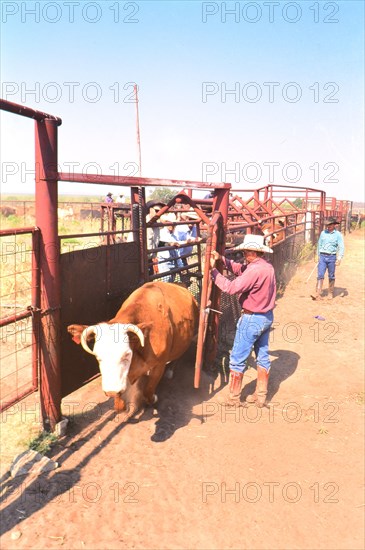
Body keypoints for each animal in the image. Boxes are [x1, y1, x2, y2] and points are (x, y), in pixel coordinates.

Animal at [68, 284, 199, 414]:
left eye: (127, 354)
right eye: (97, 356)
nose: (111, 391)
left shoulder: (159, 365)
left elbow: (148, 390)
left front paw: (153, 399)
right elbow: (119, 405)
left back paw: (170, 371)